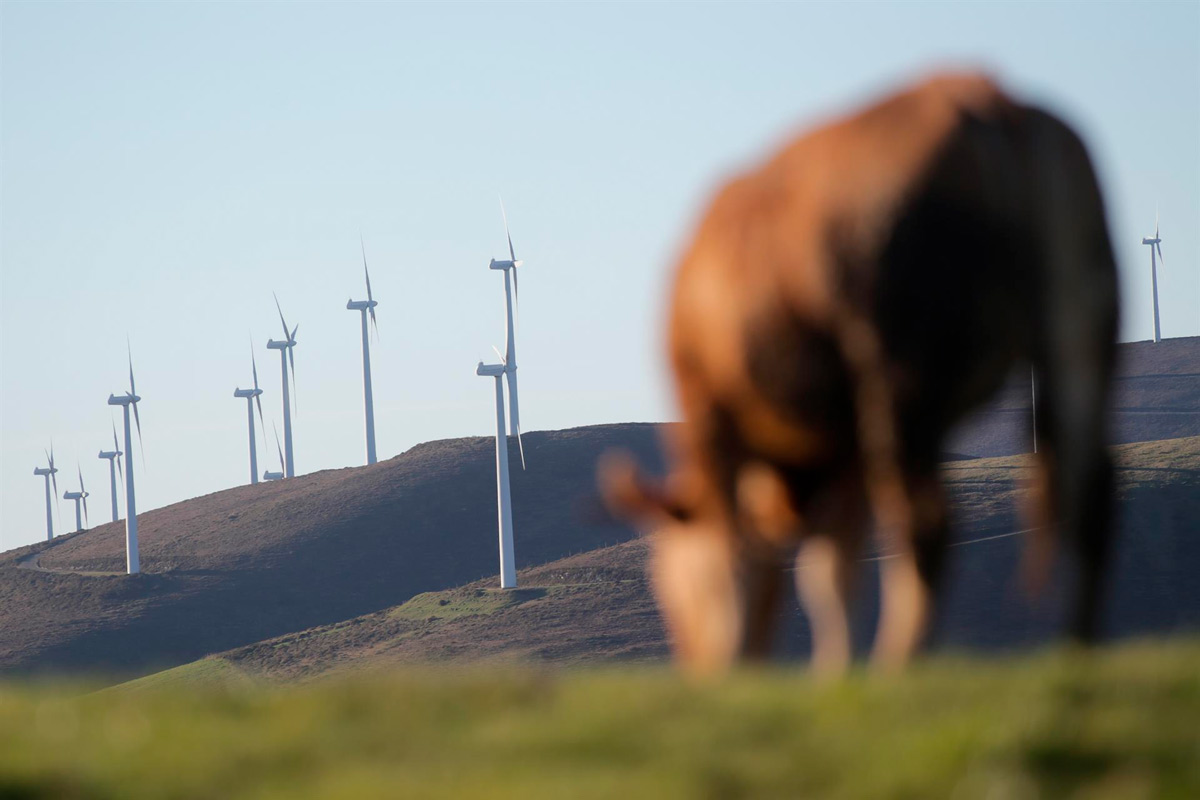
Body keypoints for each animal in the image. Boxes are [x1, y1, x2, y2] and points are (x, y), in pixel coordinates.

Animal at [604, 73, 1118, 676]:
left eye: (667, 581)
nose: (698, 671)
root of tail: (984, 93)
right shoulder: (844, 448)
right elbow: (831, 572)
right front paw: (834, 674)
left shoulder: (709, 409)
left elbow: (746, 555)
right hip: (1081, 336)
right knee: (1091, 494)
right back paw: (1077, 653)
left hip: (903, 376)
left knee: (926, 521)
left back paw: (900, 663)